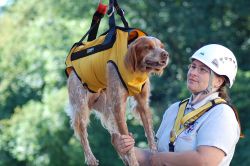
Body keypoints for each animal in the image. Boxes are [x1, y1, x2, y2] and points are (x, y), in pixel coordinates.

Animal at [65, 35, 169, 165]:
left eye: (162, 47)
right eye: (148, 47)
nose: (165, 54)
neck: (136, 70)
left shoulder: (142, 103)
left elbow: (149, 134)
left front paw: (154, 155)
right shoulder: (118, 106)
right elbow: (129, 147)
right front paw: (134, 162)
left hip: (107, 109)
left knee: (114, 138)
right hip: (81, 107)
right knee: (83, 134)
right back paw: (91, 159)